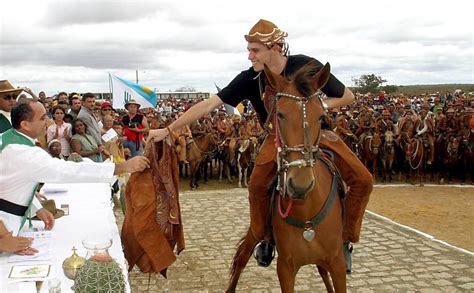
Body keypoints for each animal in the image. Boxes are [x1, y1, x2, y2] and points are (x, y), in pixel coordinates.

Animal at [228, 62, 346, 290]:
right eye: (280, 114)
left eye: (321, 116)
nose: (300, 185)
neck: (306, 211)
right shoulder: (285, 268)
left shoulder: (337, 263)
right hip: (256, 229)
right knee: (241, 258)